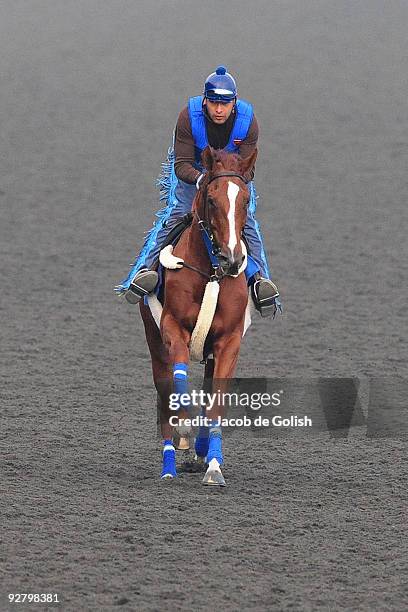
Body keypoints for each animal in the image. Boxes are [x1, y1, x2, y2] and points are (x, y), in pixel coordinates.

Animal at [139, 146, 256, 486]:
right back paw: (169, 465)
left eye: (245, 200)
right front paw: (184, 430)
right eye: (212, 199)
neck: (211, 272)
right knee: (165, 391)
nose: (233, 258)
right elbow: (178, 381)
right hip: (154, 344)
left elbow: (216, 401)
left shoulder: (228, 342)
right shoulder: (172, 329)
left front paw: (214, 466)